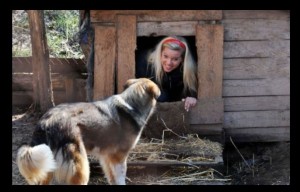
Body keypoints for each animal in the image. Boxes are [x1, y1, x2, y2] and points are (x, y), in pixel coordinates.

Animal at [16, 78, 161, 184]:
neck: (131, 106)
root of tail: (45, 122)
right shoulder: (119, 156)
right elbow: (120, 178)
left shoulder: (107, 157)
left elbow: (112, 177)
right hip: (80, 166)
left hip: (48, 165)